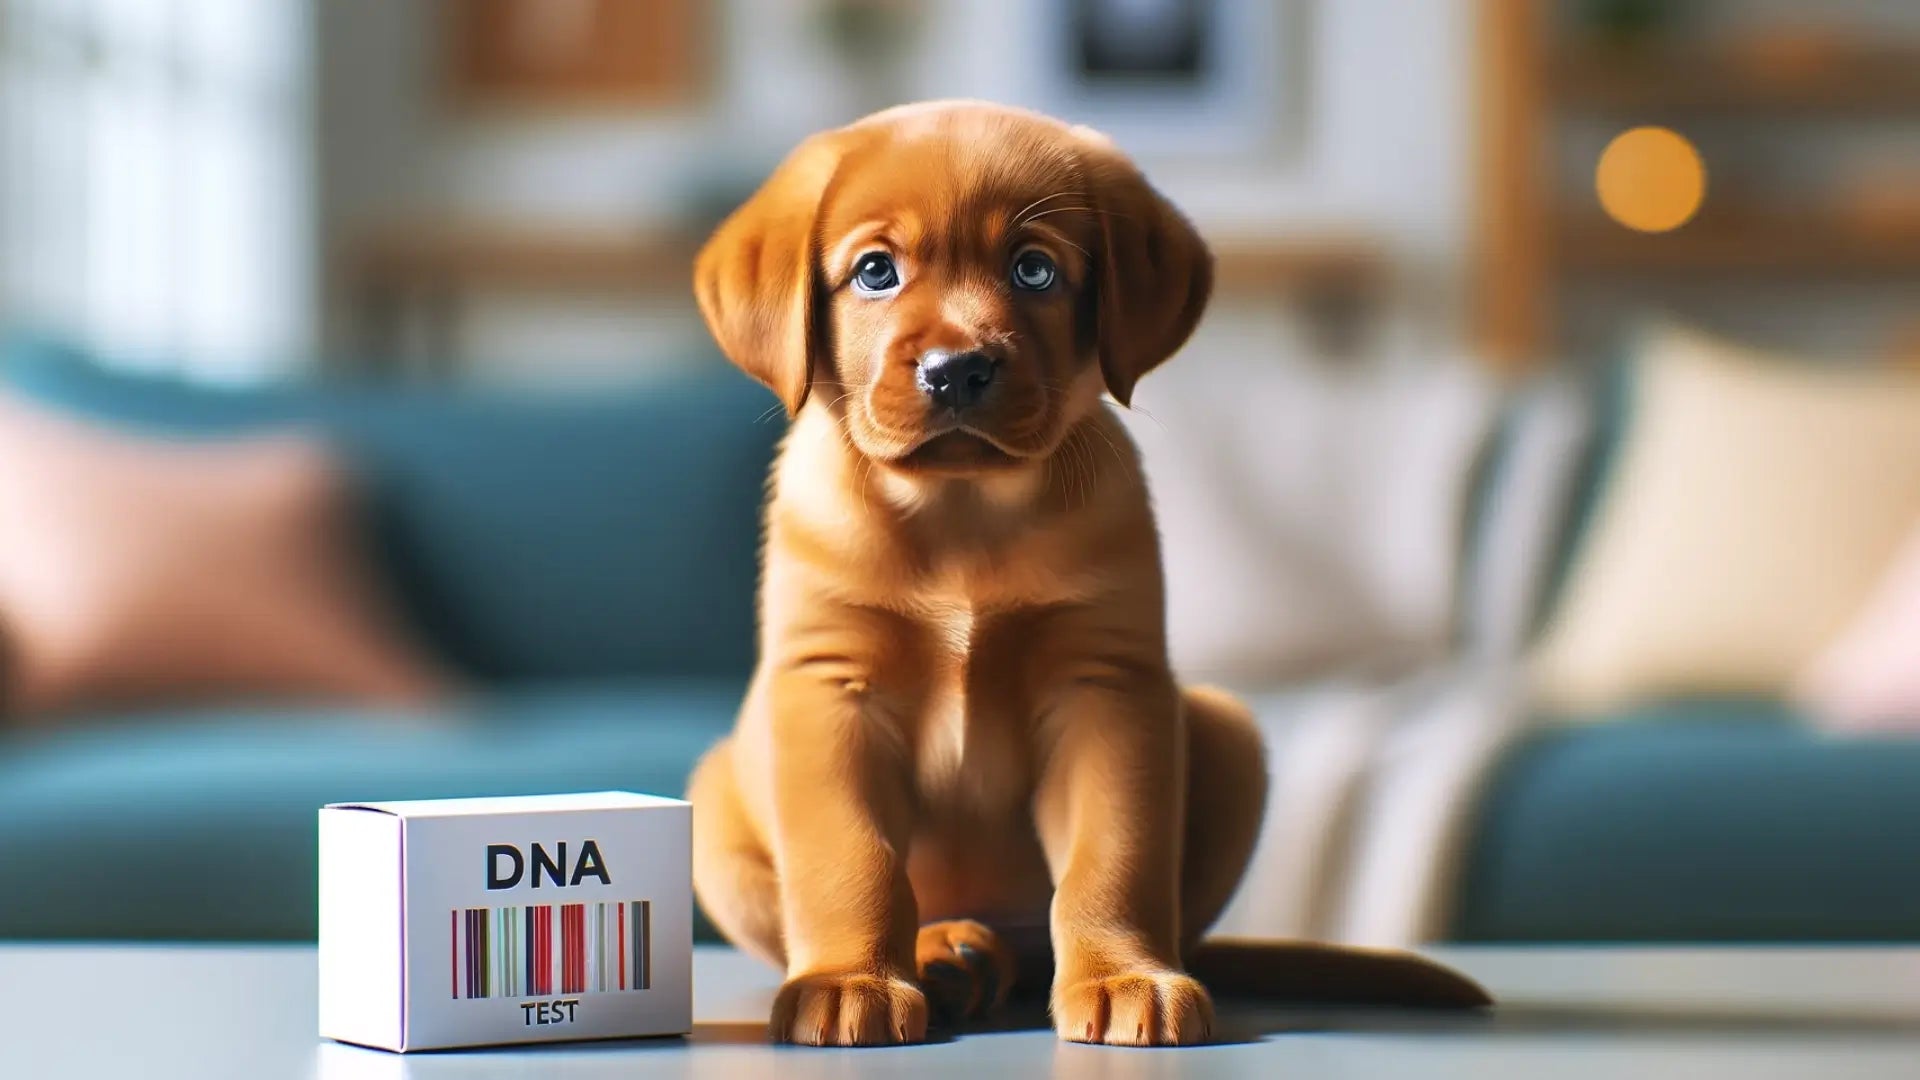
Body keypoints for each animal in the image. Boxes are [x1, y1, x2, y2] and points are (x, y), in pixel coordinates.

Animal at [691, 98, 1482, 1045]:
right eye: (875, 271)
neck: (963, 514)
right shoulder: (829, 688)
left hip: (1228, 736)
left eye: (1034, 270)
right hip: (716, 793)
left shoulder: (1106, 686)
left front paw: (1124, 976)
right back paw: (943, 952)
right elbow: (851, 859)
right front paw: (850, 979)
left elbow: (1114, 860)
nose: (957, 370)